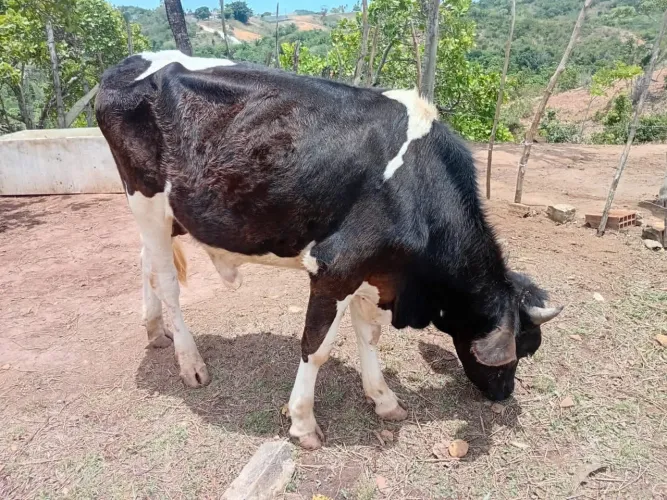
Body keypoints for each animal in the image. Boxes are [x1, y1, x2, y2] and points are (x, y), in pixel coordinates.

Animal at [96, 50, 563, 450]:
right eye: (519, 351)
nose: (504, 394)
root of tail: (125, 64)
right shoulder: (335, 267)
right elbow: (316, 347)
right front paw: (303, 423)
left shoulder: (375, 273)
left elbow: (368, 335)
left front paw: (384, 399)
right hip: (145, 200)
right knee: (167, 282)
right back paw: (190, 362)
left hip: (163, 215)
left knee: (146, 263)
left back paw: (156, 331)